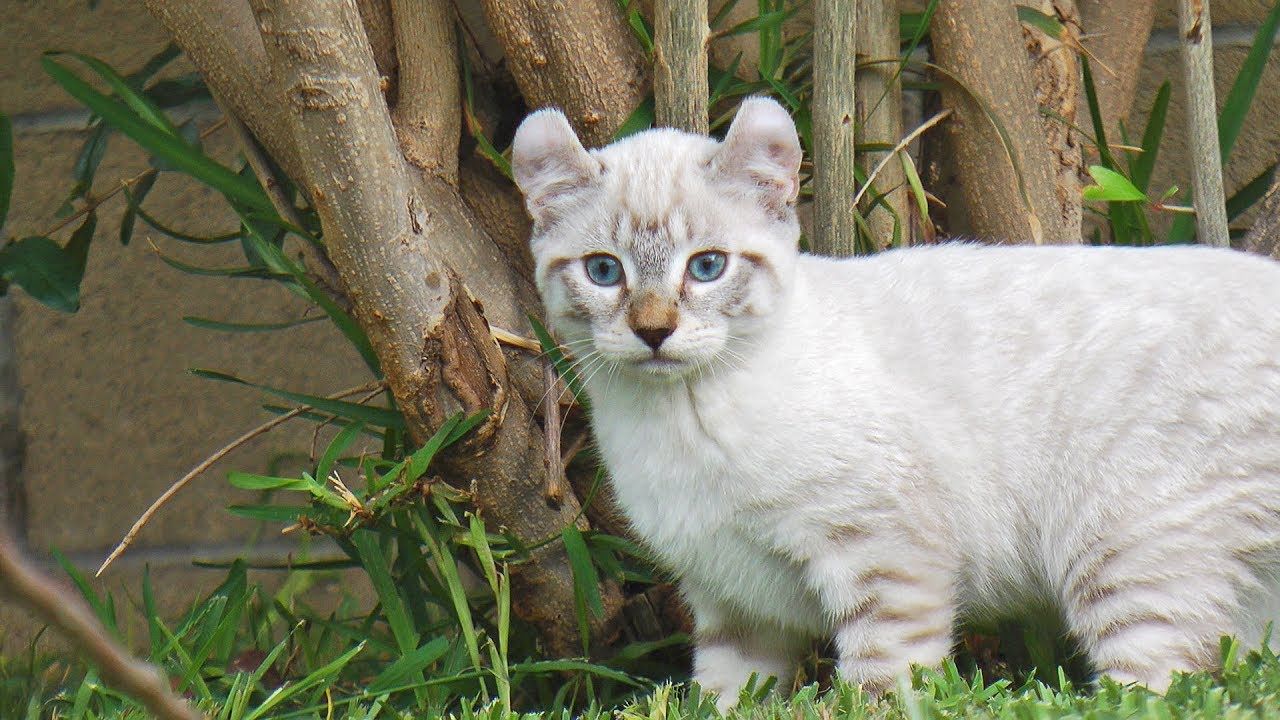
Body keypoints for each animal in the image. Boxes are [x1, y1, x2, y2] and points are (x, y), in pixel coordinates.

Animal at [506, 94, 1280, 702]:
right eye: (604, 272)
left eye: (707, 267)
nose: (654, 331)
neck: (679, 419)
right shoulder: (734, 601)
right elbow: (723, 694)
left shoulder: (884, 553)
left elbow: (881, 682)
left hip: (1127, 552)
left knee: (1159, 685)